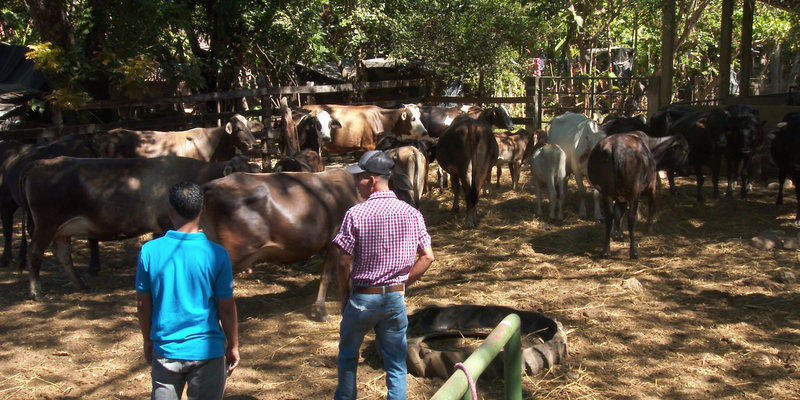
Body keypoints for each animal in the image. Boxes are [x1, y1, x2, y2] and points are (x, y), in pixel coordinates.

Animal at [20, 155, 255, 298]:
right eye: (238, 175)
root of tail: (40, 163)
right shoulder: (165, 223)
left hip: (62, 228)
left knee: (62, 254)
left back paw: (80, 285)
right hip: (46, 223)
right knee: (35, 252)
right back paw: (35, 291)